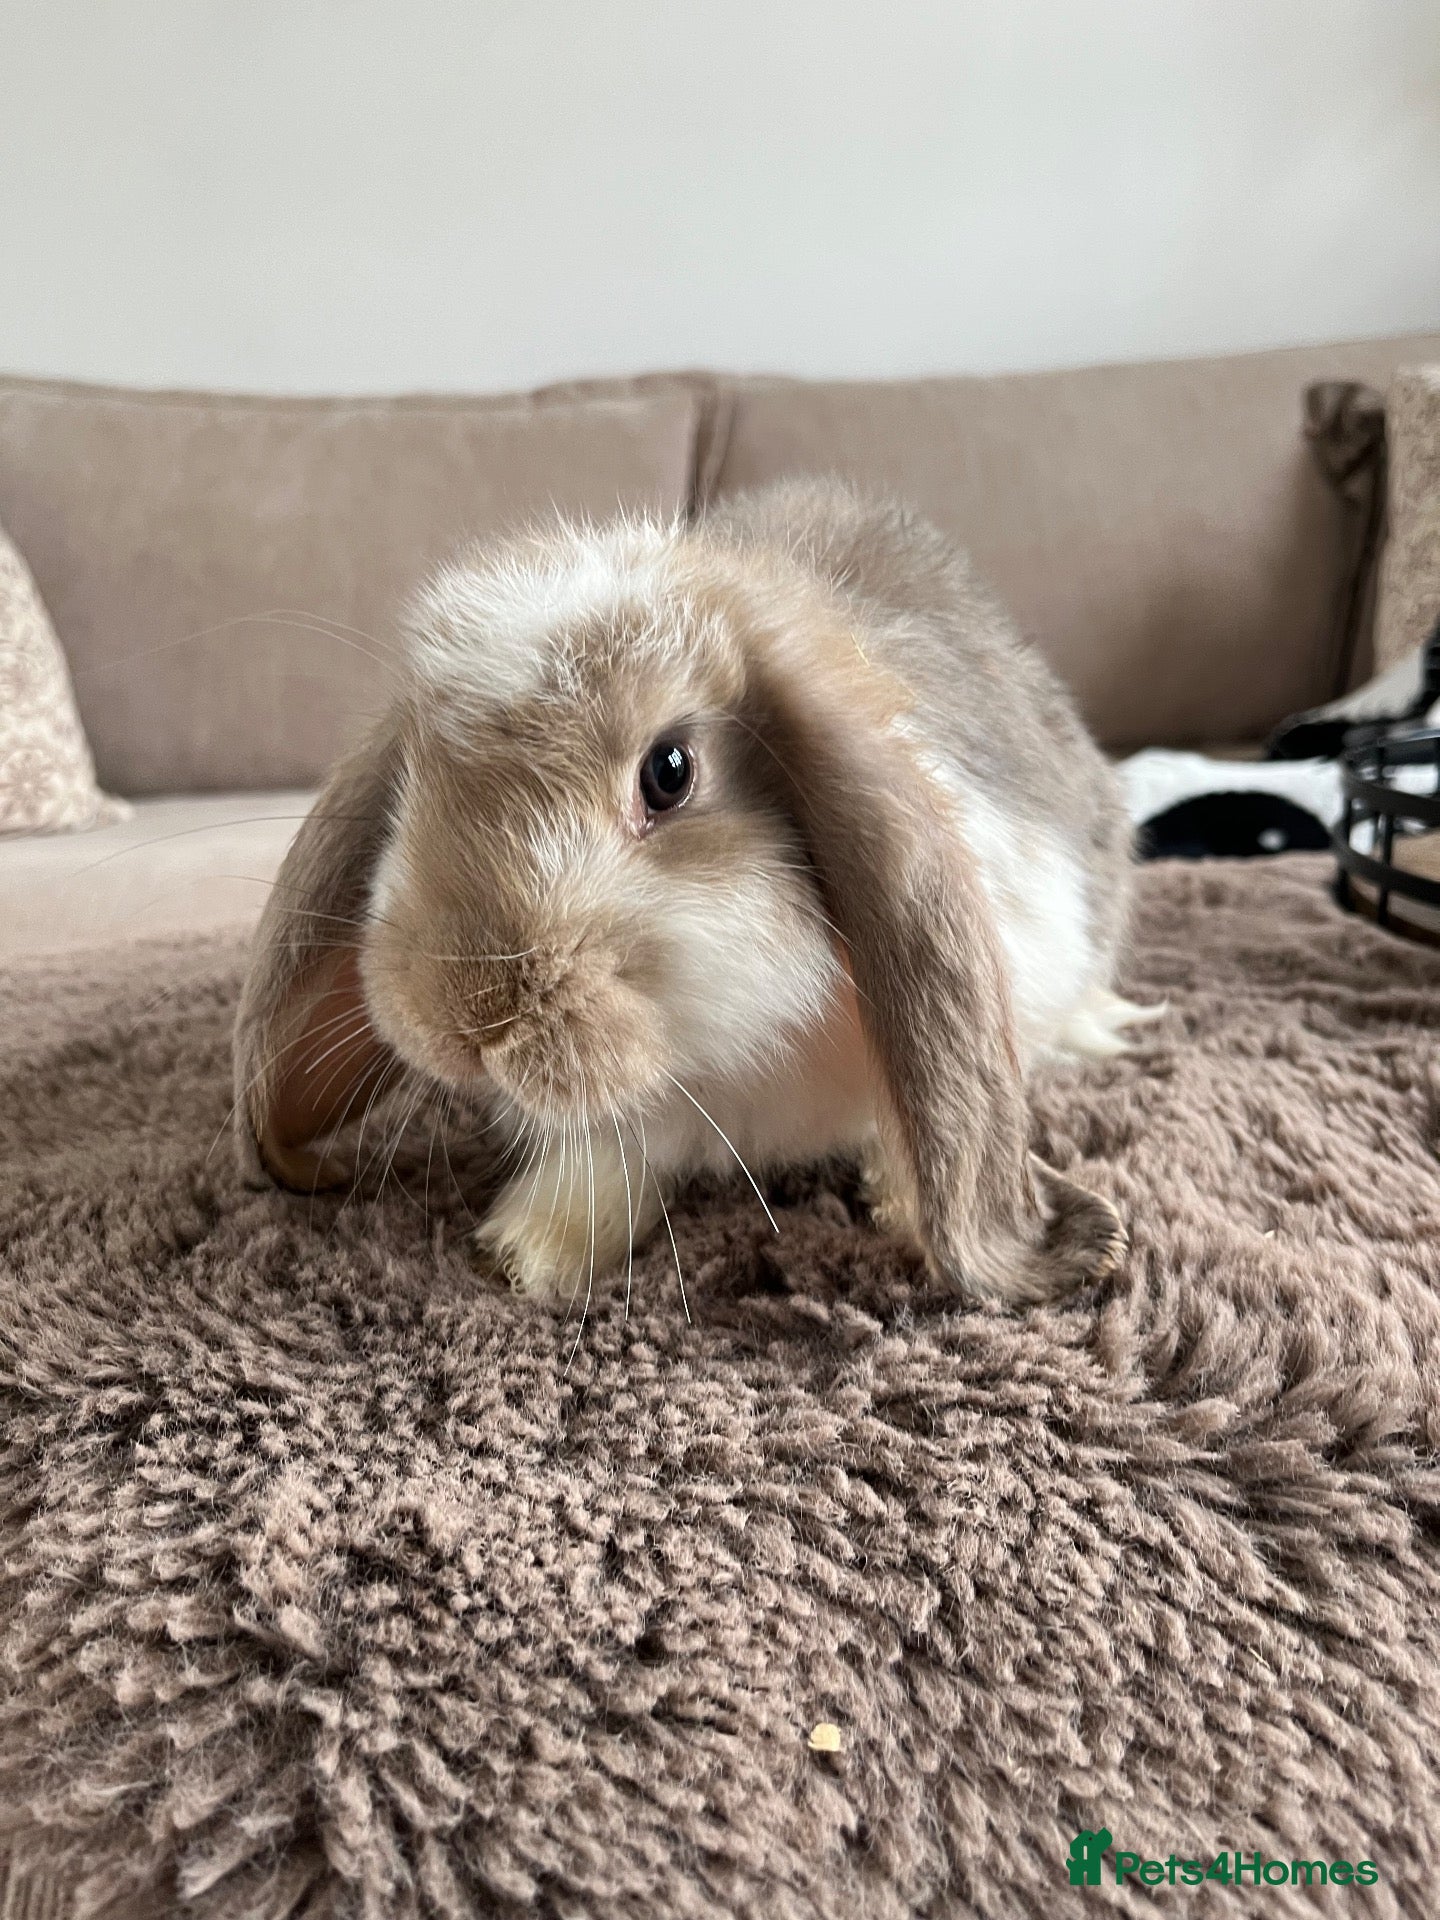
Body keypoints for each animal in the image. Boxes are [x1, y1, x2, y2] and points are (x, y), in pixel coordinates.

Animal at [235, 479, 1152, 1307]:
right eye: (416, 779)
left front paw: (902, 1210)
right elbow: (610, 1155)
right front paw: (530, 1252)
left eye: (668, 772)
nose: (465, 1017)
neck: (733, 1054)